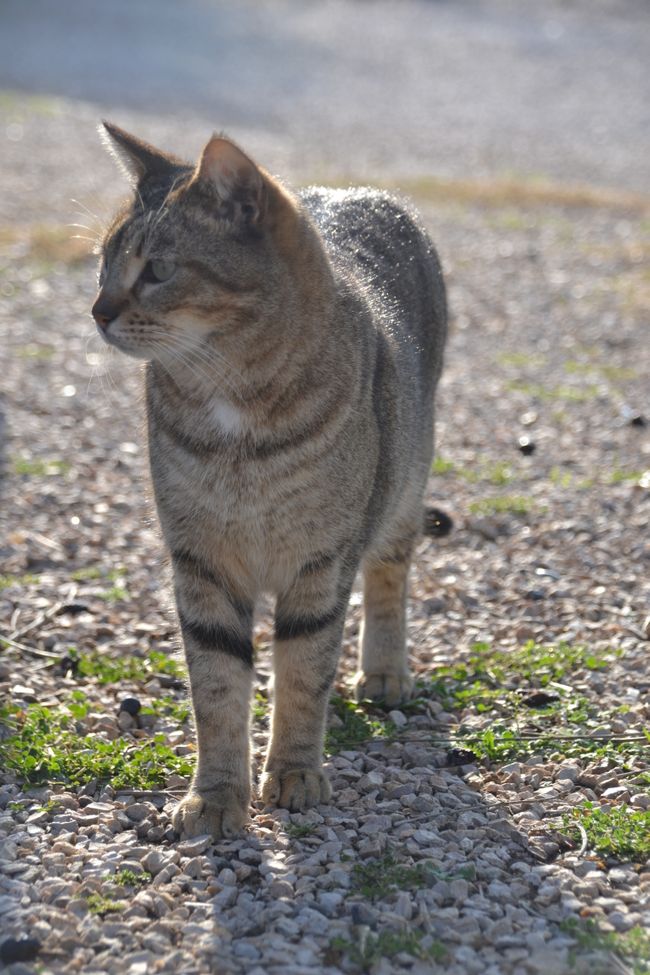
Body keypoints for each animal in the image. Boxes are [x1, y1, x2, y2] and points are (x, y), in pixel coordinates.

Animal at [92, 122, 446, 840]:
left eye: (157, 270)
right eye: (103, 264)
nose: (97, 311)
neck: (234, 412)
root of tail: (355, 191)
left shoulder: (320, 563)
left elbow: (302, 673)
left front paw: (294, 772)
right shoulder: (200, 564)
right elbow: (218, 688)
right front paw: (216, 797)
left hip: (402, 493)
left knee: (388, 580)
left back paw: (383, 671)